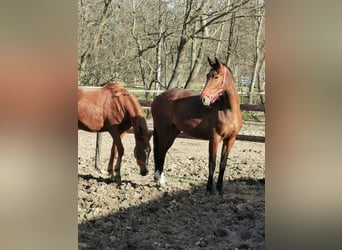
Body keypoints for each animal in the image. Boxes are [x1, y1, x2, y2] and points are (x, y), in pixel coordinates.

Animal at [151, 57, 242, 194]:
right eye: (207, 75)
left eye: (216, 77)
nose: (203, 99)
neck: (228, 110)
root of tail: (158, 97)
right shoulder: (214, 139)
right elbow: (212, 163)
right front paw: (209, 189)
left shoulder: (230, 139)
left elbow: (223, 163)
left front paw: (220, 188)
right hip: (163, 131)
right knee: (160, 152)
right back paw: (159, 181)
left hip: (172, 132)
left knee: (163, 151)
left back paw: (160, 179)